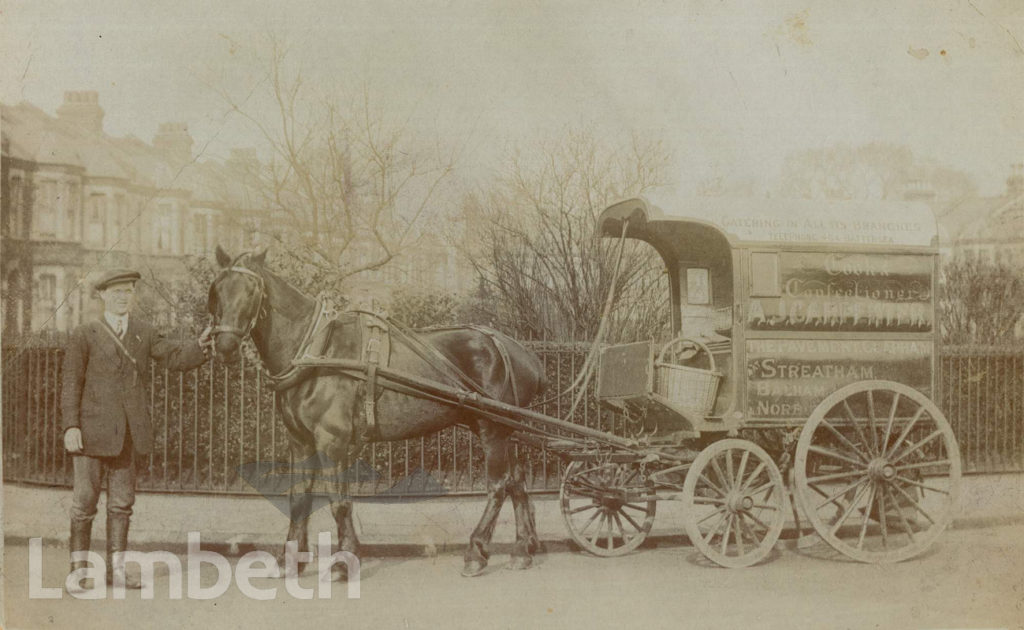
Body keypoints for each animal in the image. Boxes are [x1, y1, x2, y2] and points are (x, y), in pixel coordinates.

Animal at [203, 247, 548, 577]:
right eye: (216, 289)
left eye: (252, 290)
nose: (225, 346)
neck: (316, 350)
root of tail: (519, 351)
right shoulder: (299, 441)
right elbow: (299, 499)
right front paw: (290, 562)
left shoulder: (332, 442)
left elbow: (339, 502)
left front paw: (344, 561)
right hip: (499, 427)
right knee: (517, 479)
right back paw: (522, 549)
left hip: (492, 428)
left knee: (498, 486)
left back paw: (476, 552)